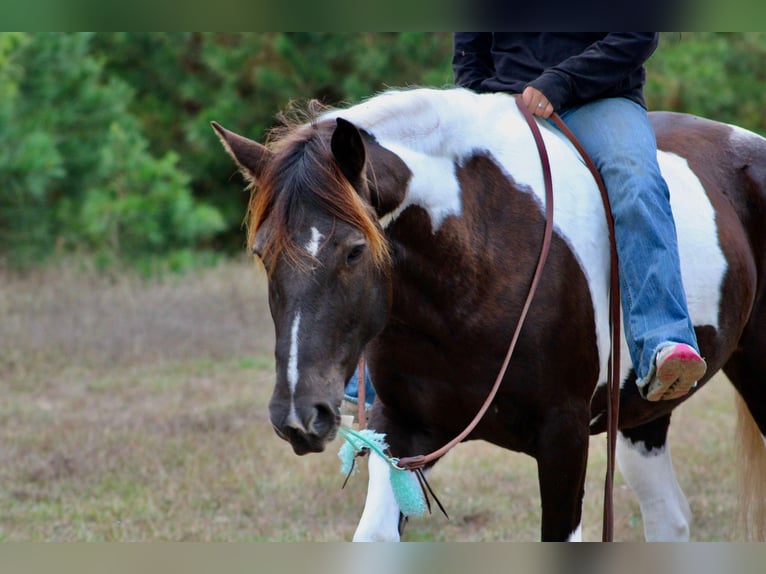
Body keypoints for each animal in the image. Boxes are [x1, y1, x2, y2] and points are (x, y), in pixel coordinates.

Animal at [212, 87, 766, 541]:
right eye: (262, 253)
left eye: (353, 251)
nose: (298, 416)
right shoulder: (402, 430)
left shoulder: (564, 438)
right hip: (640, 415)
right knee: (669, 518)